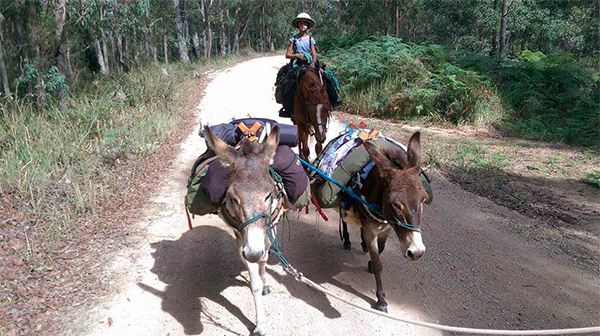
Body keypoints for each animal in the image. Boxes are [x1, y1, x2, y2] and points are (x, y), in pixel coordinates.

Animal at [204, 124, 284, 334]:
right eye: (233, 198)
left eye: (269, 195)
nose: (253, 253)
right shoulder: (242, 239)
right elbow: (254, 282)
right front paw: (260, 324)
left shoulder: (269, 230)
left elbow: (265, 258)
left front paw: (265, 282)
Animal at [342, 132, 426, 312]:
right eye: (395, 203)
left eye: (424, 199)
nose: (417, 252)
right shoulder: (370, 231)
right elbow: (378, 263)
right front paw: (381, 299)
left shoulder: (386, 229)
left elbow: (380, 250)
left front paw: (369, 262)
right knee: (342, 219)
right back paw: (346, 240)